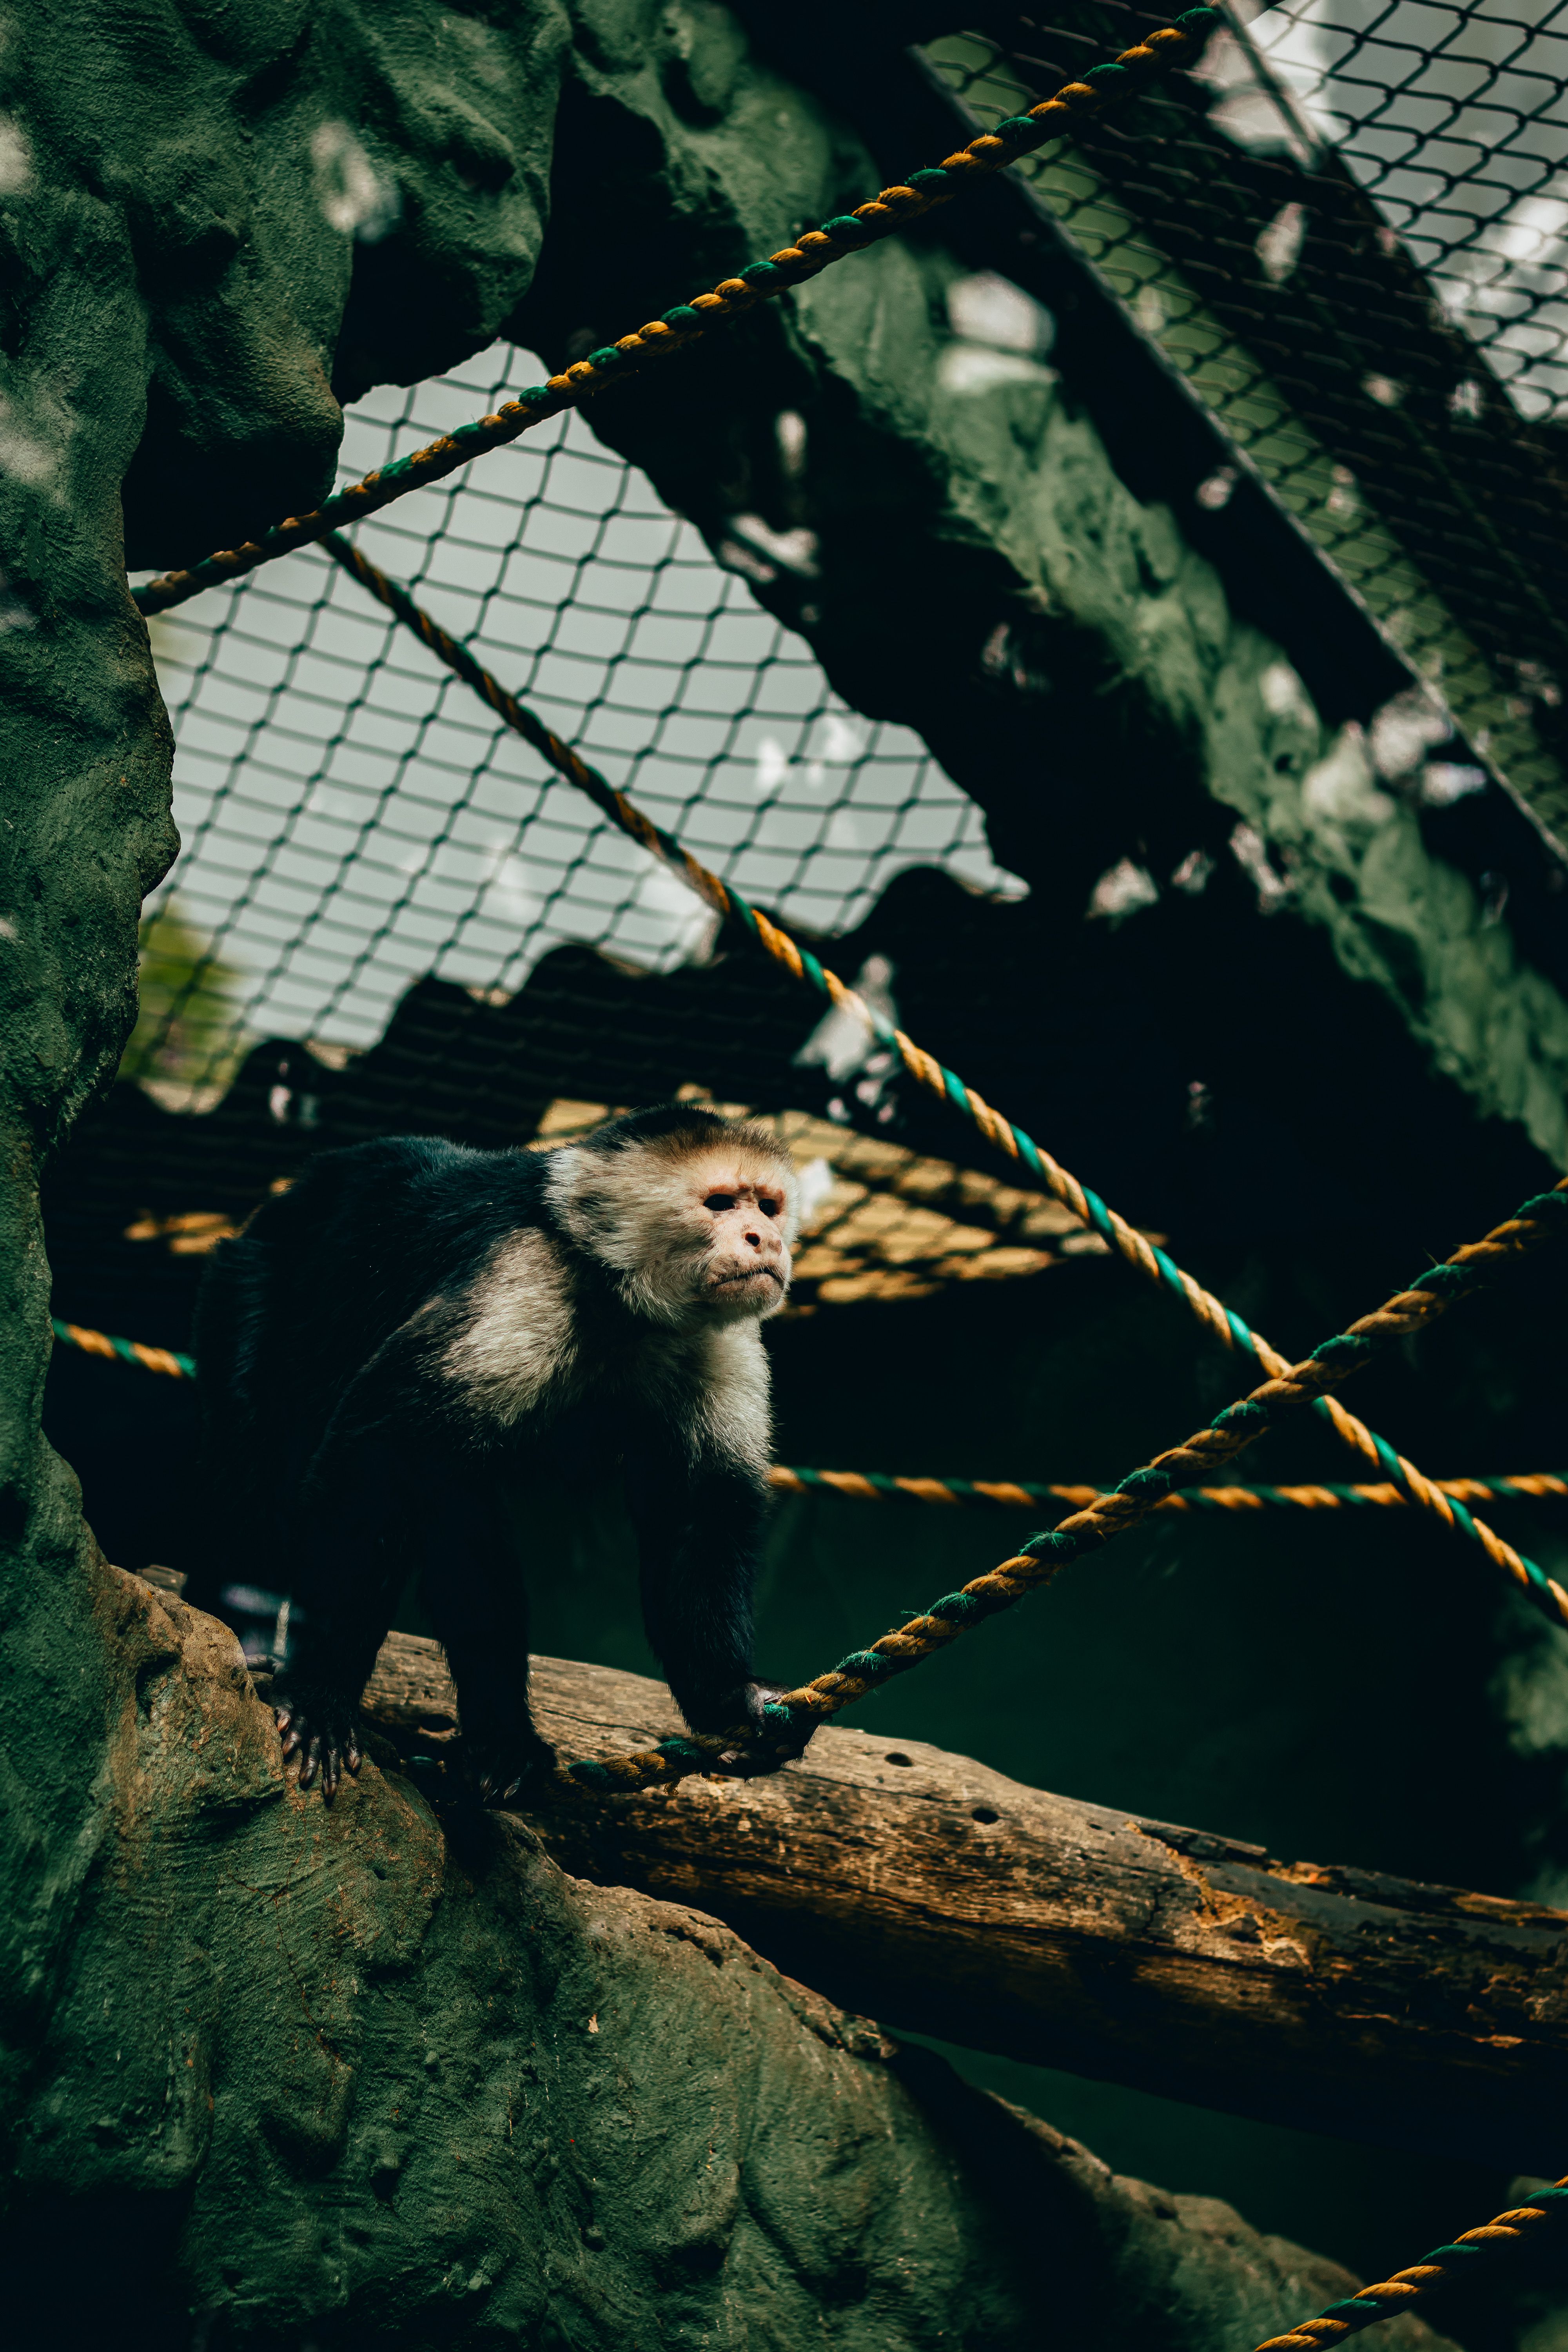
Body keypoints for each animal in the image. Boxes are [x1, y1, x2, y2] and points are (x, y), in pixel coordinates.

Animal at [181, 1104, 812, 1802]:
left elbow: (698, 1515)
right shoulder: (524, 1276)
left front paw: (732, 1702)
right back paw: (240, 1634)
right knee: (262, 1452)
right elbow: (376, 1457)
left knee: (453, 1501)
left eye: (769, 1206)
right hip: (248, 1277)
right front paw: (319, 1698)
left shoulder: (715, 1337)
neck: (622, 1299)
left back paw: (500, 1745)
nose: (764, 1239)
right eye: (720, 1203)